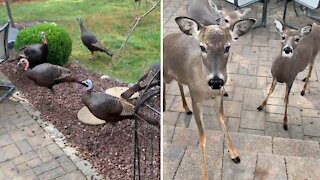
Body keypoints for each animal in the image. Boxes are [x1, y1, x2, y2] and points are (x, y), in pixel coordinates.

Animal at [164, 16, 256, 179]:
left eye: (227, 47)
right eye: (202, 47)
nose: (216, 81)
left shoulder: (219, 99)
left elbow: (223, 123)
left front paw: (234, 154)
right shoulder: (195, 99)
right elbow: (202, 138)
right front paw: (204, 175)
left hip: (180, 75)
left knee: (180, 84)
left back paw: (185, 108)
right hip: (165, 74)